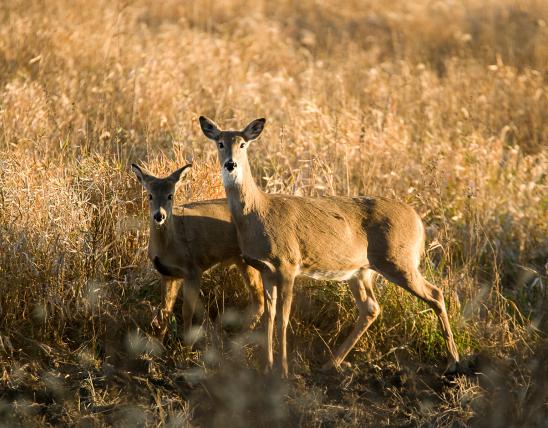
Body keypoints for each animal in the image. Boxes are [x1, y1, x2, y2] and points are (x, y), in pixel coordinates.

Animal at [131, 162, 264, 342]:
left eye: (170, 195)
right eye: (150, 195)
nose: (159, 216)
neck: (170, 246)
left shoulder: (193, 270)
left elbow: (187, 312)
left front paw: (185, 344)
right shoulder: (168, 274)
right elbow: (164, 312)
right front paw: (158, 342)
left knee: (261, 298)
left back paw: (241, 338)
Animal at [199, 116, 460, 378]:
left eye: (243, 144)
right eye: (220, 143)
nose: (230, 164)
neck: (258, 212)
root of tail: (418, 220)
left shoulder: (288, 264)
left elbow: (283, 318)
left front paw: (283, 371)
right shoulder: (265, 270)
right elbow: (269, 317)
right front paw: (266, 367)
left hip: (398, 260)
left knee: (435, 294)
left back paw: (453, 362)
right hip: (362, 271)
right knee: (371, 308)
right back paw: (331, 363)